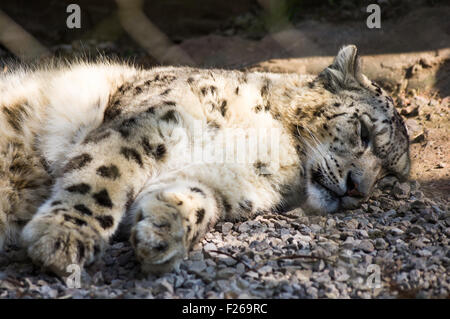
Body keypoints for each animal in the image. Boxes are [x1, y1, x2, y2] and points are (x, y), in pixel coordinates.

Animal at [0, 45, 408, 278]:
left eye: (388, 176)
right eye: (364, 131)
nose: (357, 189)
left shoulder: (218, 183)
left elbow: (195, 201)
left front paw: (163, 233)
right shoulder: (145, 127)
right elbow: (103, 177)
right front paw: (62, 238)